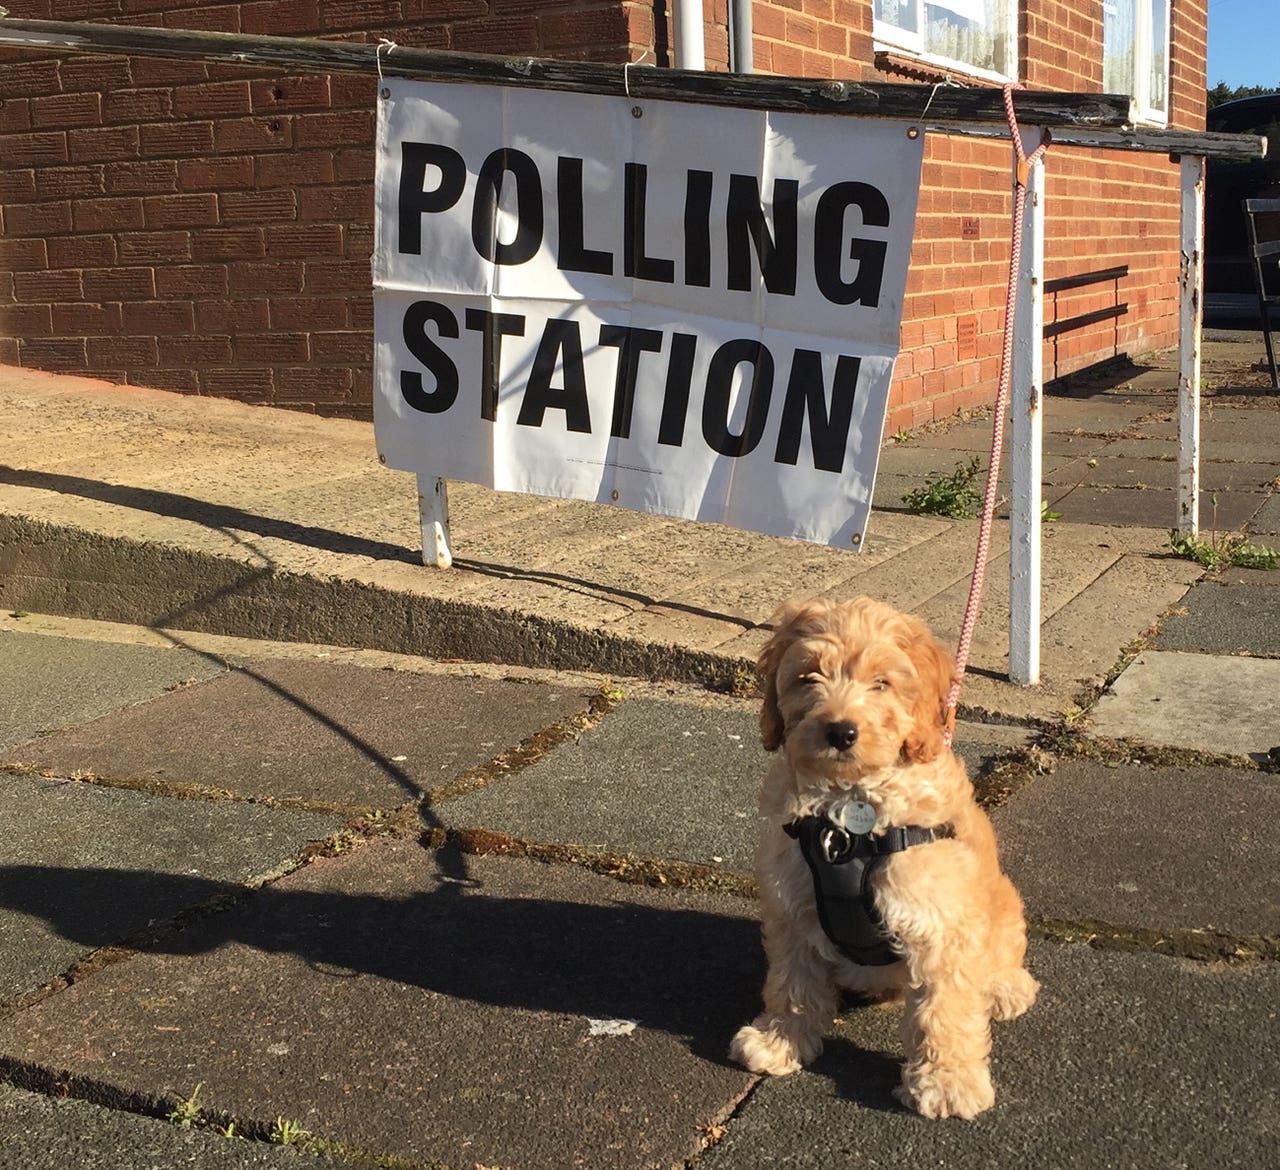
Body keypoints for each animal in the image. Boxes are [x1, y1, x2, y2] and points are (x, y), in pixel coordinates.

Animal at [732, 596, 1039, 1116]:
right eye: (808, 676)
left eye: (881, 683)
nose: (840, 731)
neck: (850, 809)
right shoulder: (791, 907)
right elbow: (792, 983)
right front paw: (781, 1041)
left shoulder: (940, 923)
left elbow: (944, 1006)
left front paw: (947, 1080)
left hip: (1000, 907)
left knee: (1003, 955)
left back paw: (1005, 989)